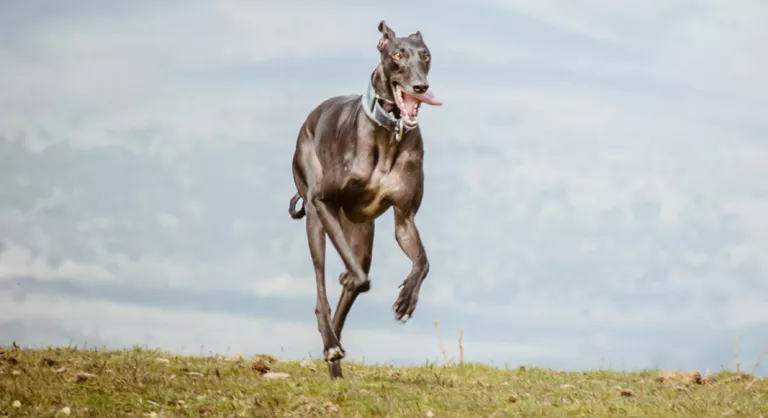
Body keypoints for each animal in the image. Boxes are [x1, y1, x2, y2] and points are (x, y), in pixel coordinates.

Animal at [288, 20, 444, 378]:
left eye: (426, 55)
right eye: (397, 54)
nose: (420, 86)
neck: (389, 131)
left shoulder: (405, 219)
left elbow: (423, 262)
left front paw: (407, 299)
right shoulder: (324, 201)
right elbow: (358, 278)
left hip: (360, 230)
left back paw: (335, 364)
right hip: (314, 214)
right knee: (322, 284)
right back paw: (330, 344)